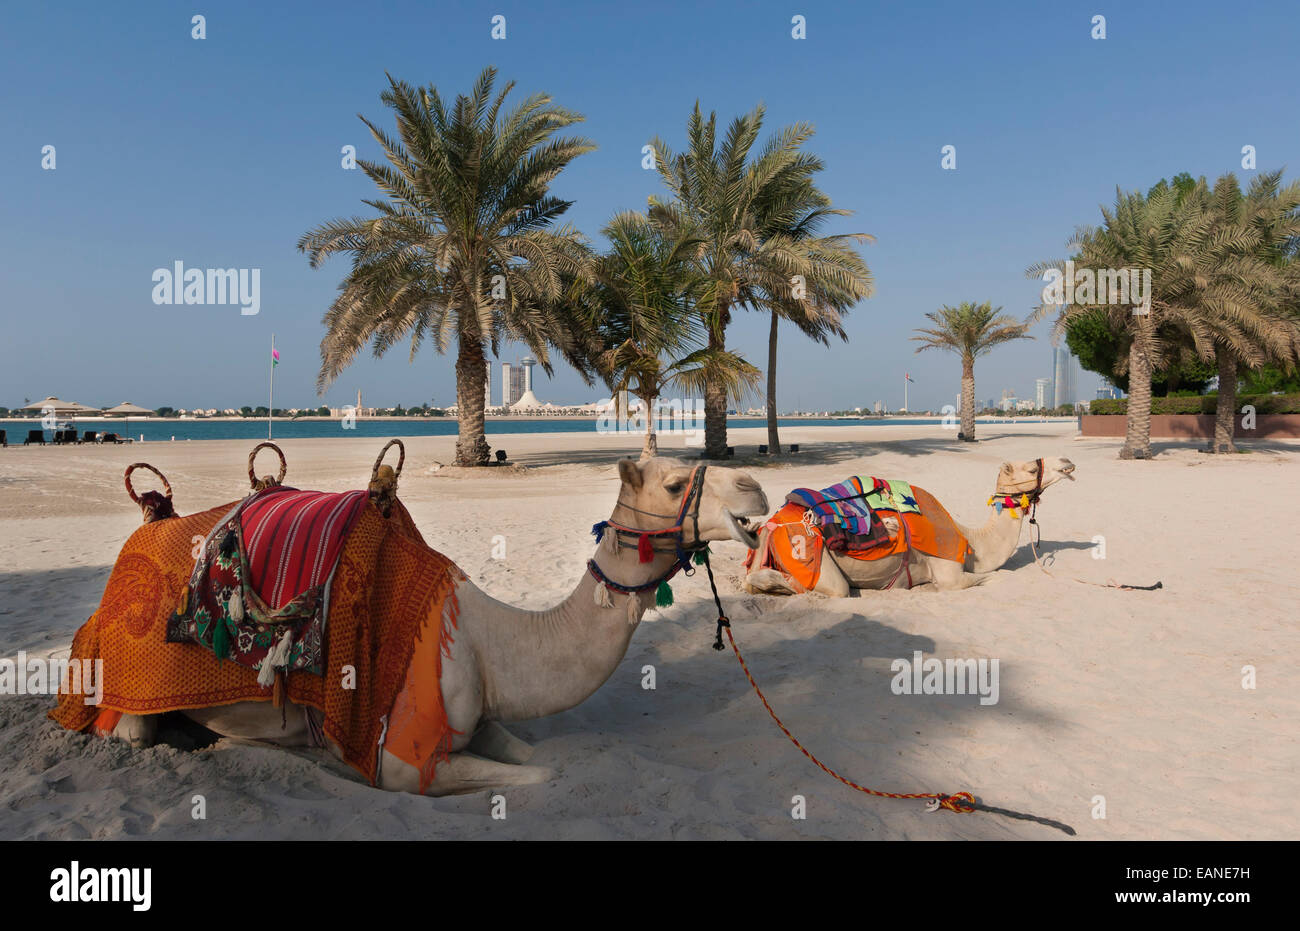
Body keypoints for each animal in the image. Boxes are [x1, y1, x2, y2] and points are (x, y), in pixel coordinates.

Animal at [111, 457, 764, 790]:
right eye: (675, 484)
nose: (755, 490)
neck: (486, 640)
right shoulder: (402, 758)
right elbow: (538, 775)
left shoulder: (480, 719)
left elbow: (541, 760)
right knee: (134, 732)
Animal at [743, 457, 1076, 595]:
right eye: (1031, 469)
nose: (1066, 461)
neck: (972, 543)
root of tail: (771, 524)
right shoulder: (949, 573)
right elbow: (997, 577)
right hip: (807, 551)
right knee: (832, 588)